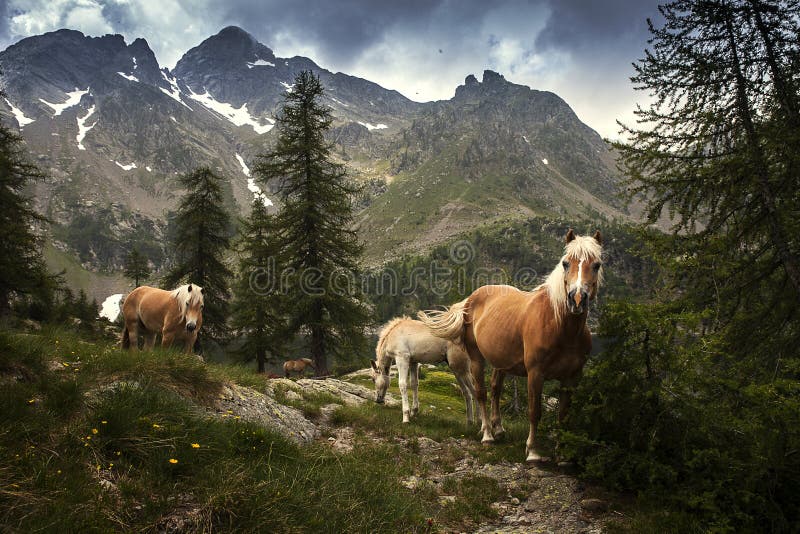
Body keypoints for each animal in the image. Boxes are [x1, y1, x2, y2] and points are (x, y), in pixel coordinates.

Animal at [418, 229, 603, 462]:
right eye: (565, 263)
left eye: (596, 265)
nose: (577, 299)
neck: (560, 326)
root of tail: (470, 299)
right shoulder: (535, 373)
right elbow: (534, 412)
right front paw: (532, 451)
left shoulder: (572, 377)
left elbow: (563, 415)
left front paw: (563, 454)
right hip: (476, 359)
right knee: (481, 393)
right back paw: (487, 434)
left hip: (501, 361)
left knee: (496, 389)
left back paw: (498, 429)